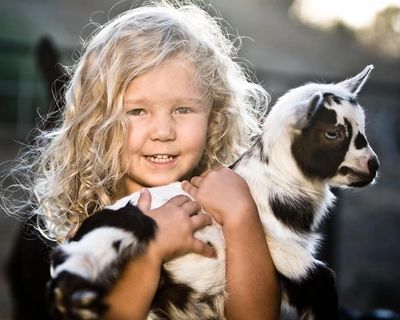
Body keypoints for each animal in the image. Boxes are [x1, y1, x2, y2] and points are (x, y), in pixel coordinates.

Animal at [48, 64, 380, 318]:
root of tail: (82, 228)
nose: (374, 165)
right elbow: (324, 283)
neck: (274, 184)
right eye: (333, 133)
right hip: (118, 229)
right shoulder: (286, 255)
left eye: (362, 129)